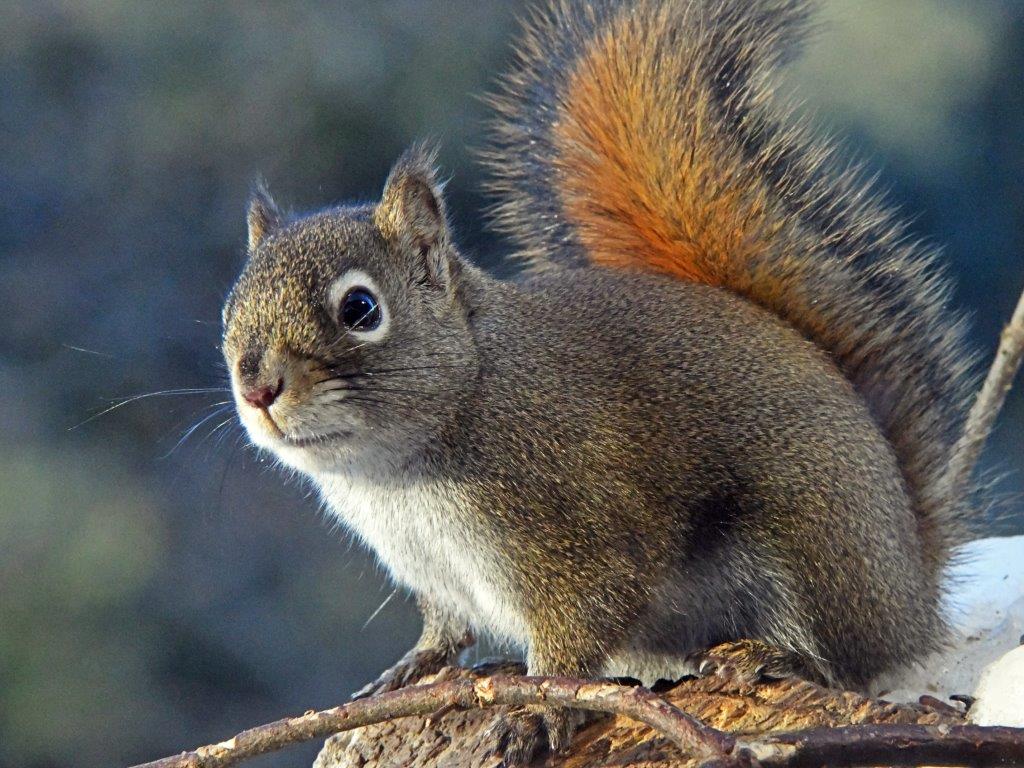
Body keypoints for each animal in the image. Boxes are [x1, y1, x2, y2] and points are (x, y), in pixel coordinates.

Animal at [221, 0, 981, 763]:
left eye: (360, 309)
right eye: (230, 309)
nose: (256, 390)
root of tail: (911, 586)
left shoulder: (580, 529)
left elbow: (578, 629)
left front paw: (539, 706)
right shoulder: (436, 574)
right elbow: (446, 635)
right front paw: (407, 673)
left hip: (809, 538)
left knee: (841, 658)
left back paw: (769, 655)